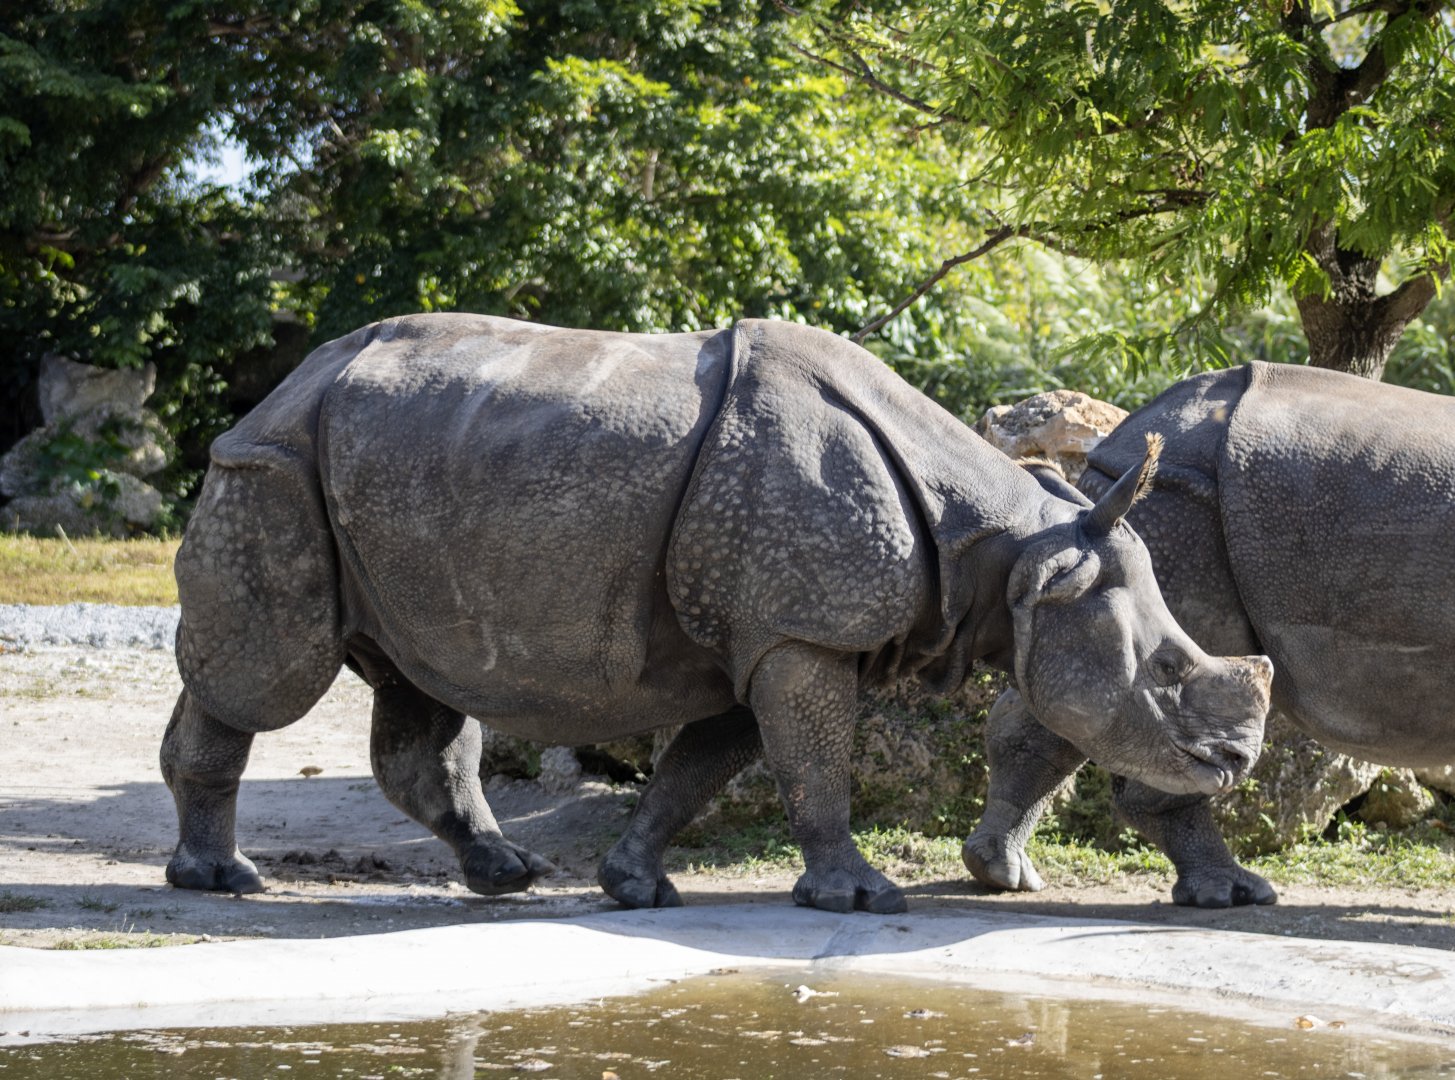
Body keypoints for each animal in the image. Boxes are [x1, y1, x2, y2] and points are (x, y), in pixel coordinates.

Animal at [163, 314, 1272, 914]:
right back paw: (223, 880)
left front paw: (632, 885)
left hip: (389, 476)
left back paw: (504, 873)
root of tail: (289, 380)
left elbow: (701, 766)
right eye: (1167, 672)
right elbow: (813, 766)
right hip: (275, 467)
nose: (1232, 766)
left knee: (417, 681)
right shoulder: (801, 627)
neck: (1015, 550)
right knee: (268, 677)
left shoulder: (765, 632)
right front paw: (860, 896)